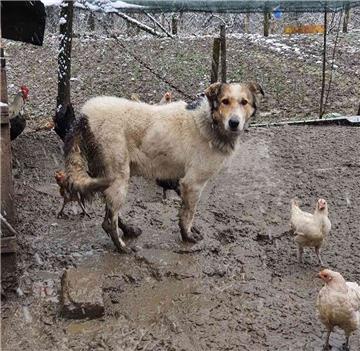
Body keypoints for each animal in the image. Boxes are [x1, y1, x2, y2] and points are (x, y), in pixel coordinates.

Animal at [63, 82, 262, 253]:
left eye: (244, 102)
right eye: (224, 101)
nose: (234, 123)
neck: (209, 121)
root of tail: (84, 115)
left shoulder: (183, 183)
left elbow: (184, 211)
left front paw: (190, 229)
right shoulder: (193, 183)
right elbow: (189, 214)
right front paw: (187, 236)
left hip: (109, 177)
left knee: (113, 213)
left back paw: (129, 230)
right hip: (118, 177)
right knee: (108, 222)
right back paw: (122, 247)